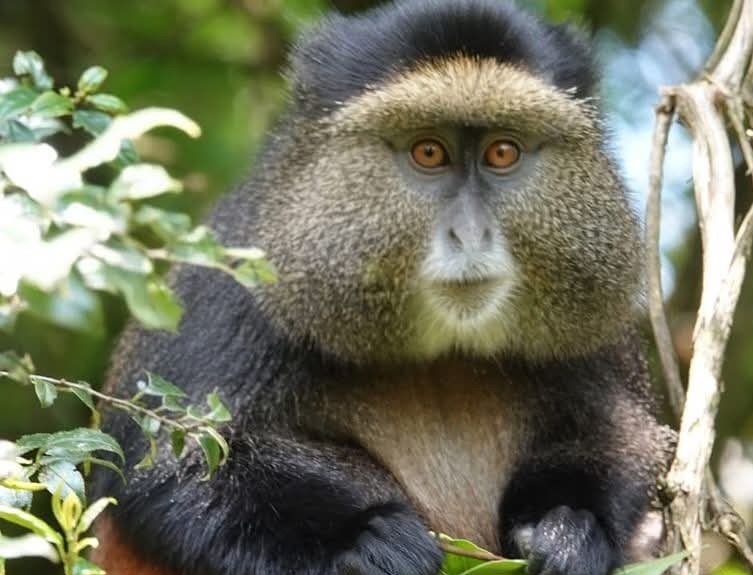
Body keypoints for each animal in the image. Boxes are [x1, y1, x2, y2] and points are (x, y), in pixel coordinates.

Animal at [92, 1, 676, 574]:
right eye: (429, 153)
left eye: (502, 153)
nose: (470, 234)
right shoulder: (235, 283)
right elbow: (173, 469)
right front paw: (364, 542)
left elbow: (622, 438)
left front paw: (567, 532)